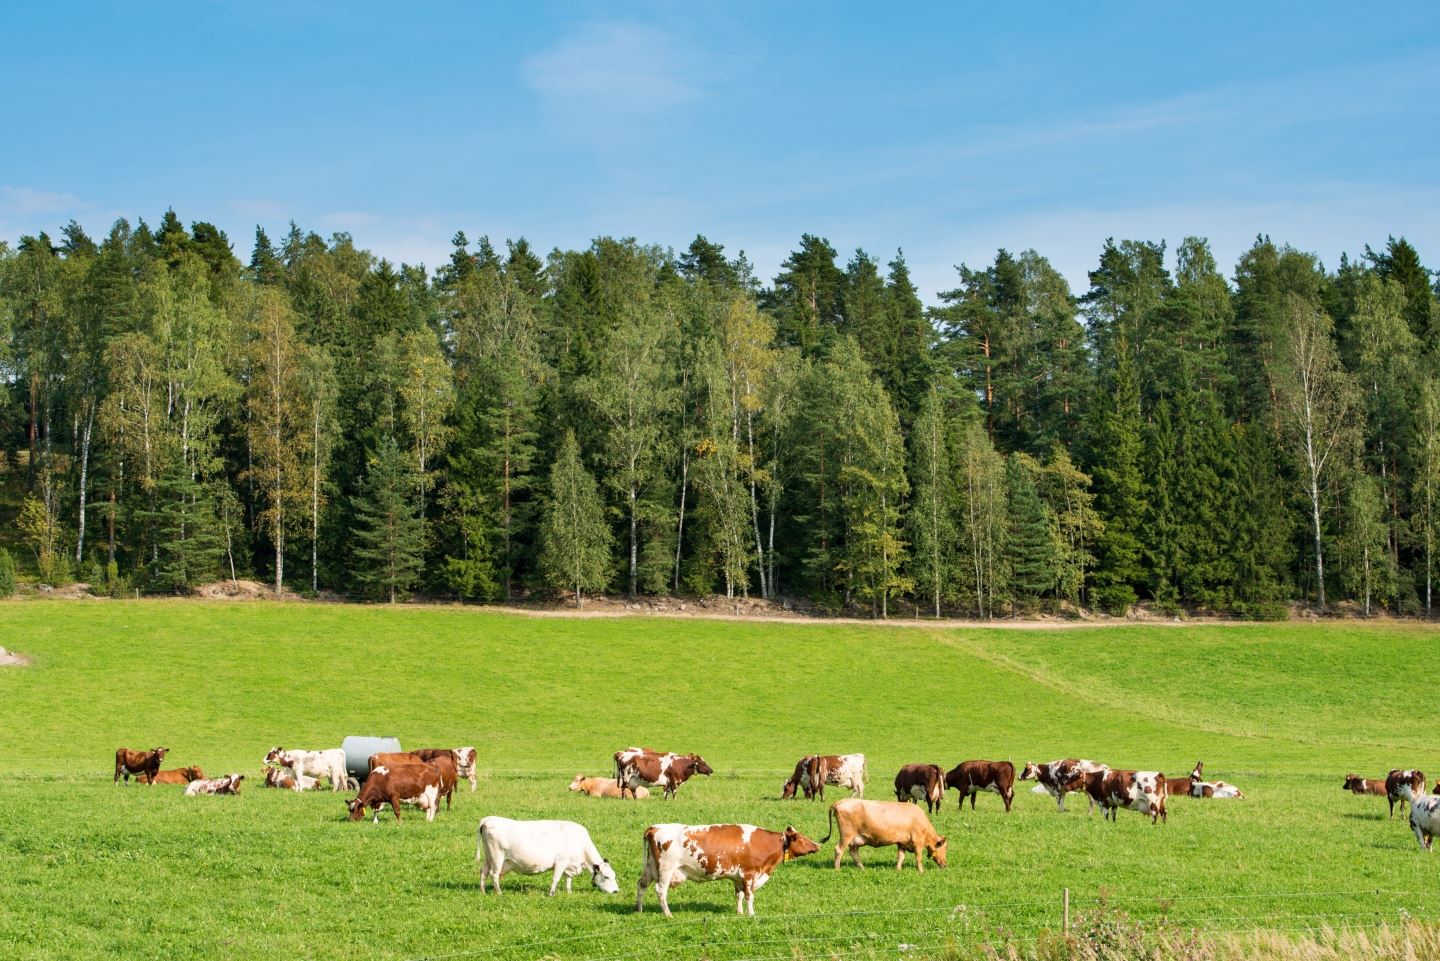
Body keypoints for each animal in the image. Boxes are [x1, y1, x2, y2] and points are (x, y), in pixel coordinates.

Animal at [475, 818, 616, 899]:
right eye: (606, 877)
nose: (616, 891)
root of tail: (487, 821)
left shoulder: (569, 865)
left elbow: (568, 880)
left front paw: (569, 892)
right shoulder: (561, 861)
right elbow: (556, 878)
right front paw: (551, 894)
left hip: (488, 857)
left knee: (483, 872)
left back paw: (483, 891)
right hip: (497, 857)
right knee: (494, 874)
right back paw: (499, 893)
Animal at [633, 824, 817, 922]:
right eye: (800, 838)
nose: (817, 845)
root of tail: (655, 827)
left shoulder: (738, 877)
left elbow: (739, 895)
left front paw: (739, 912)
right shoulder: (749, 874)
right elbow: (749, 896)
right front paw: (751, 914)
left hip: (651, 867)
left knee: (641, 885)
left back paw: (639, 909)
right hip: (666, 870)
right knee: (660, 891)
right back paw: (668, 914)